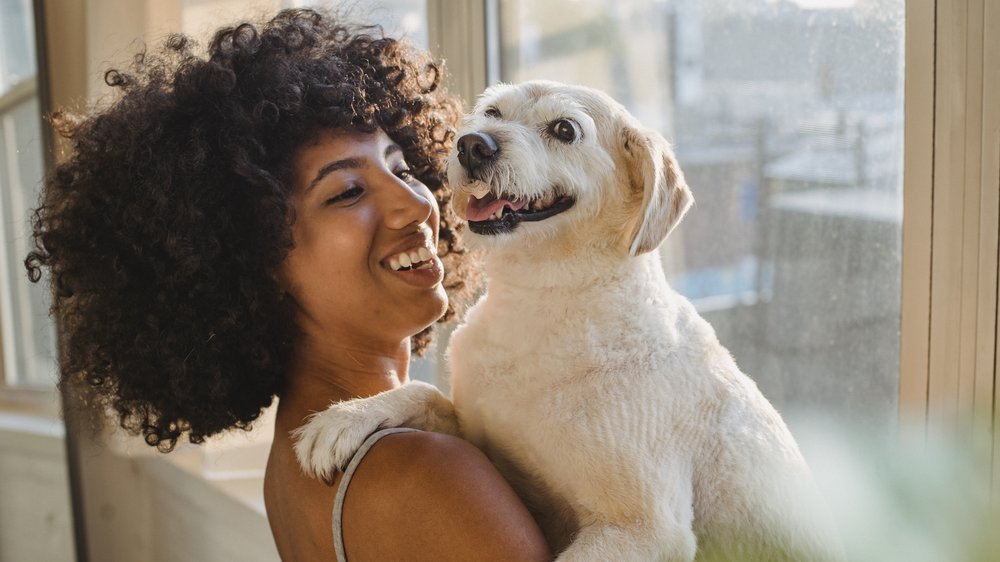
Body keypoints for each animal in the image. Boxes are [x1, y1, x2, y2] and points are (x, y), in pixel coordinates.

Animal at [296, 80, 844, 560]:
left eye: (564, 129)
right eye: (493, 112)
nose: (472, 144)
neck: (542, 304)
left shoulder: (644, 530)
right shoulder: (478, 434)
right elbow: (425, 392)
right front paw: (348, 417)